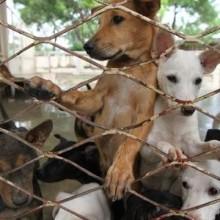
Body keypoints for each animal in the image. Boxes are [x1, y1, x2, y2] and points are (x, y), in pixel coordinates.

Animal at [28, 0, 161, 199]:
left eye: (118, 18)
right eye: (99, 22)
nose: (86, 46)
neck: (128, 67)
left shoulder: (145, 115)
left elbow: (129, 142)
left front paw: (120, 171)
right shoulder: (97, 99)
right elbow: (75, 97)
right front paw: (49, 87)